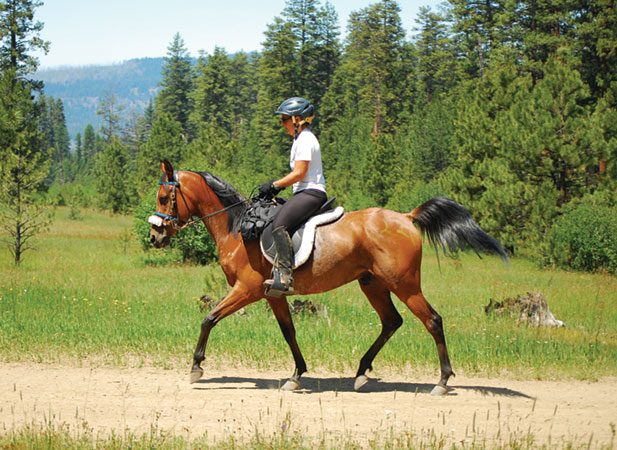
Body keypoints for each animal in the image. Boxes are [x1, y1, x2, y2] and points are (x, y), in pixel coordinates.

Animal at [149, 161, 506, 394]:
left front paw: (196, 367)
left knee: (432, 320)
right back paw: (361, 372)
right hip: (373, 283)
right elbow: (289, 331)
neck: (238, 228)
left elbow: (209, 318)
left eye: (164, 198)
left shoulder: (247, 289)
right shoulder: (272, 294)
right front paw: (296, 375)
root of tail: (406, 217)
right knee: (392, 321)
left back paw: (442, 381)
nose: (155, 236)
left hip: (404, 284)